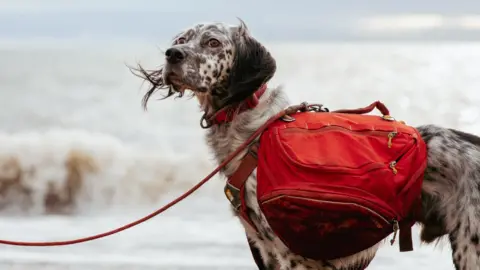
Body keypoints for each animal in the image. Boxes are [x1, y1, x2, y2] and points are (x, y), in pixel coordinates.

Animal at [132, 19, 480, 270]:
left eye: (213, 42)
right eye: (182, 39)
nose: (172, 54)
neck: (251, 128)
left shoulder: (293, 254)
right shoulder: (263, 248)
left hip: (470, 249)